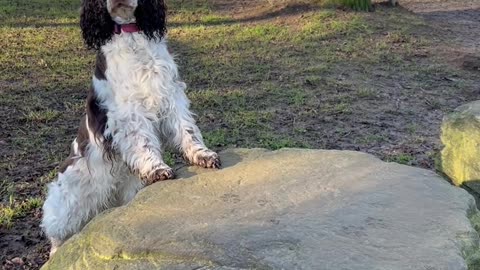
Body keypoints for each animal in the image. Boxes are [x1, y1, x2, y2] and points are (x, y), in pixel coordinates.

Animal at [41, 0, 221, 256]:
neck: (131, 36)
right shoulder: (129, 110)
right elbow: (142, 142)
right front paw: (157, 169)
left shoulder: (170, 94)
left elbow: (187, 130)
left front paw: (203, 155)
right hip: (70, 197)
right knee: (57, 233)